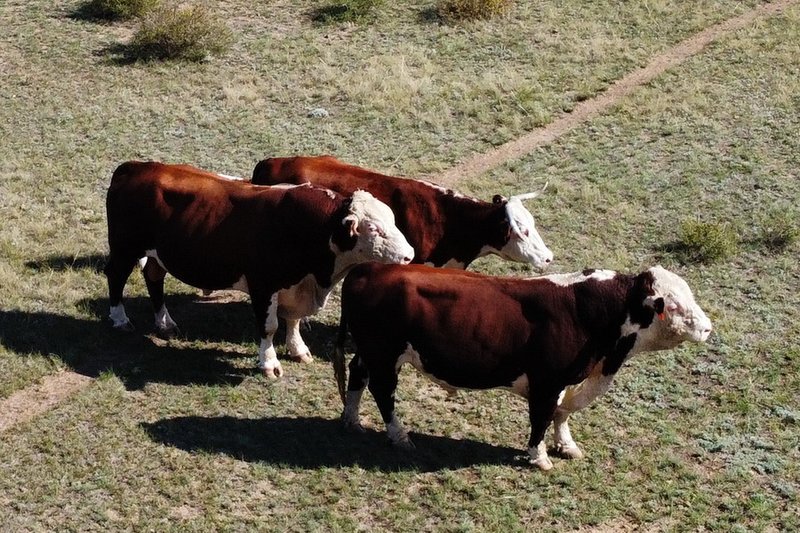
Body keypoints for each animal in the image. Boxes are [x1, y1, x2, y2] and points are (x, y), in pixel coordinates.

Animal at [103, 160, 412, 376]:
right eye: (374, 229)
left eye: (393, 220)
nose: (409, 256)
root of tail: (134, 167)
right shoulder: (263, 285)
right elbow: (269, 326)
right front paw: (269, 363)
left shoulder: (295, 286)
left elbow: (293, 320)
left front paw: (298, 349)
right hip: (125, 248)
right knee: (116, 276)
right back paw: (120, 319)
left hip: (156, 254)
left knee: (154, 277)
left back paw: (165, 322)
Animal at [332, 262, 712, 470]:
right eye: (674, 306)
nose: (708, 328)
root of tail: (369, 268)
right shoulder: (547, 382)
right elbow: (543, 417)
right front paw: (539, 456)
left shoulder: (569, 380)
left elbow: (562, 414)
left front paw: (567, 446)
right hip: (385, 355)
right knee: (383, 392)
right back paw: (400, 437)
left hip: (370, 352)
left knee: (357, 377)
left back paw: (352, 421)